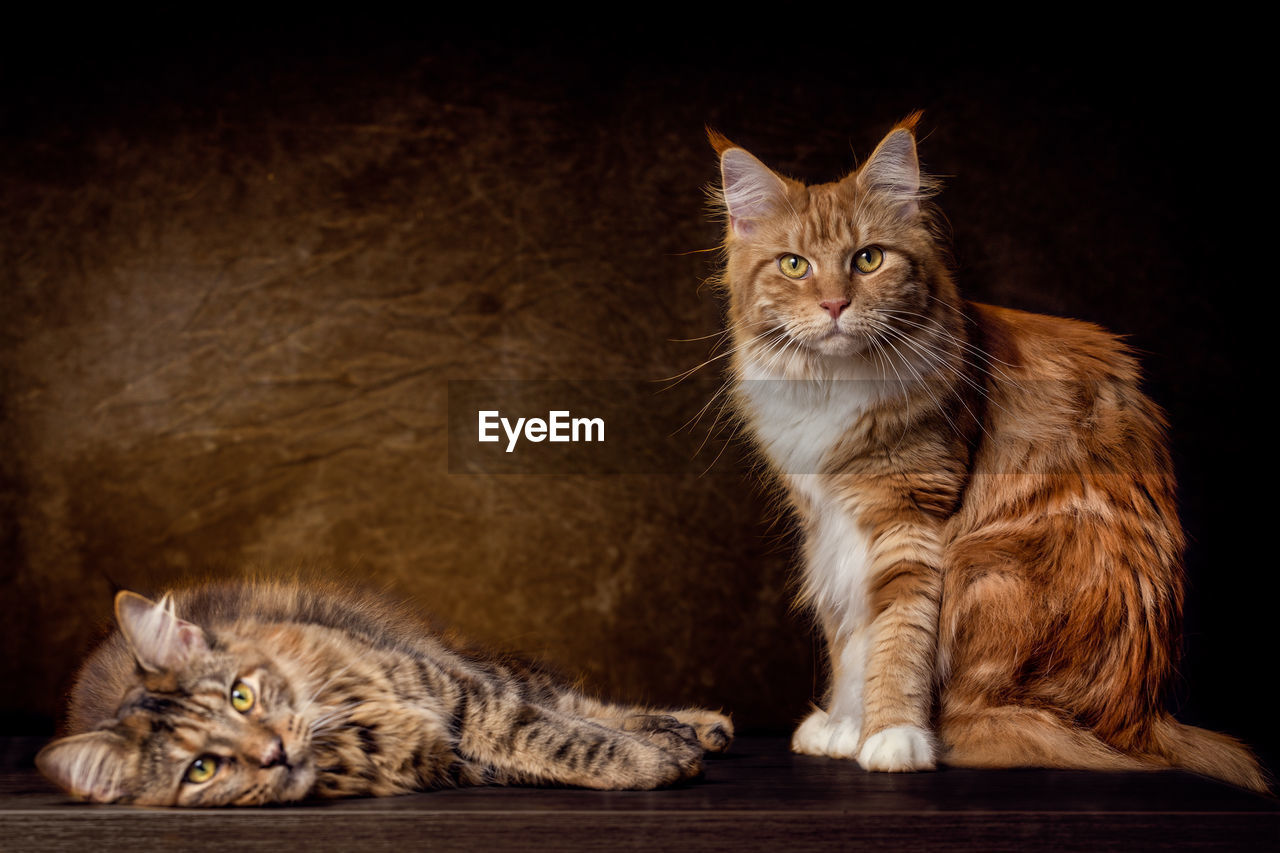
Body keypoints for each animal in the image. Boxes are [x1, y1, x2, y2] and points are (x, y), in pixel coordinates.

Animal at [37, 581, 732, 799]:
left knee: (570, 698)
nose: (273, 751)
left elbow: (560, 729)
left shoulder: (460, 692)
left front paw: (662, 753)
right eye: (202, 767)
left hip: (463, 662)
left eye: (241, 696)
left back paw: (702, 724)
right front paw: (653, 762)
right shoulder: (462, 755)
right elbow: (562, 745)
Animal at [716, 114, 1264, 788]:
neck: (833, 384)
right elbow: (849, 636)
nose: (835, 304)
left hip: (986, 562)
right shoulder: (828, 523)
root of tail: (1145, 722)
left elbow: (895, 634)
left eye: (868, 259)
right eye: (794, 265)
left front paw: (890, 735)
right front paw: (846, 724)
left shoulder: (911, 517)